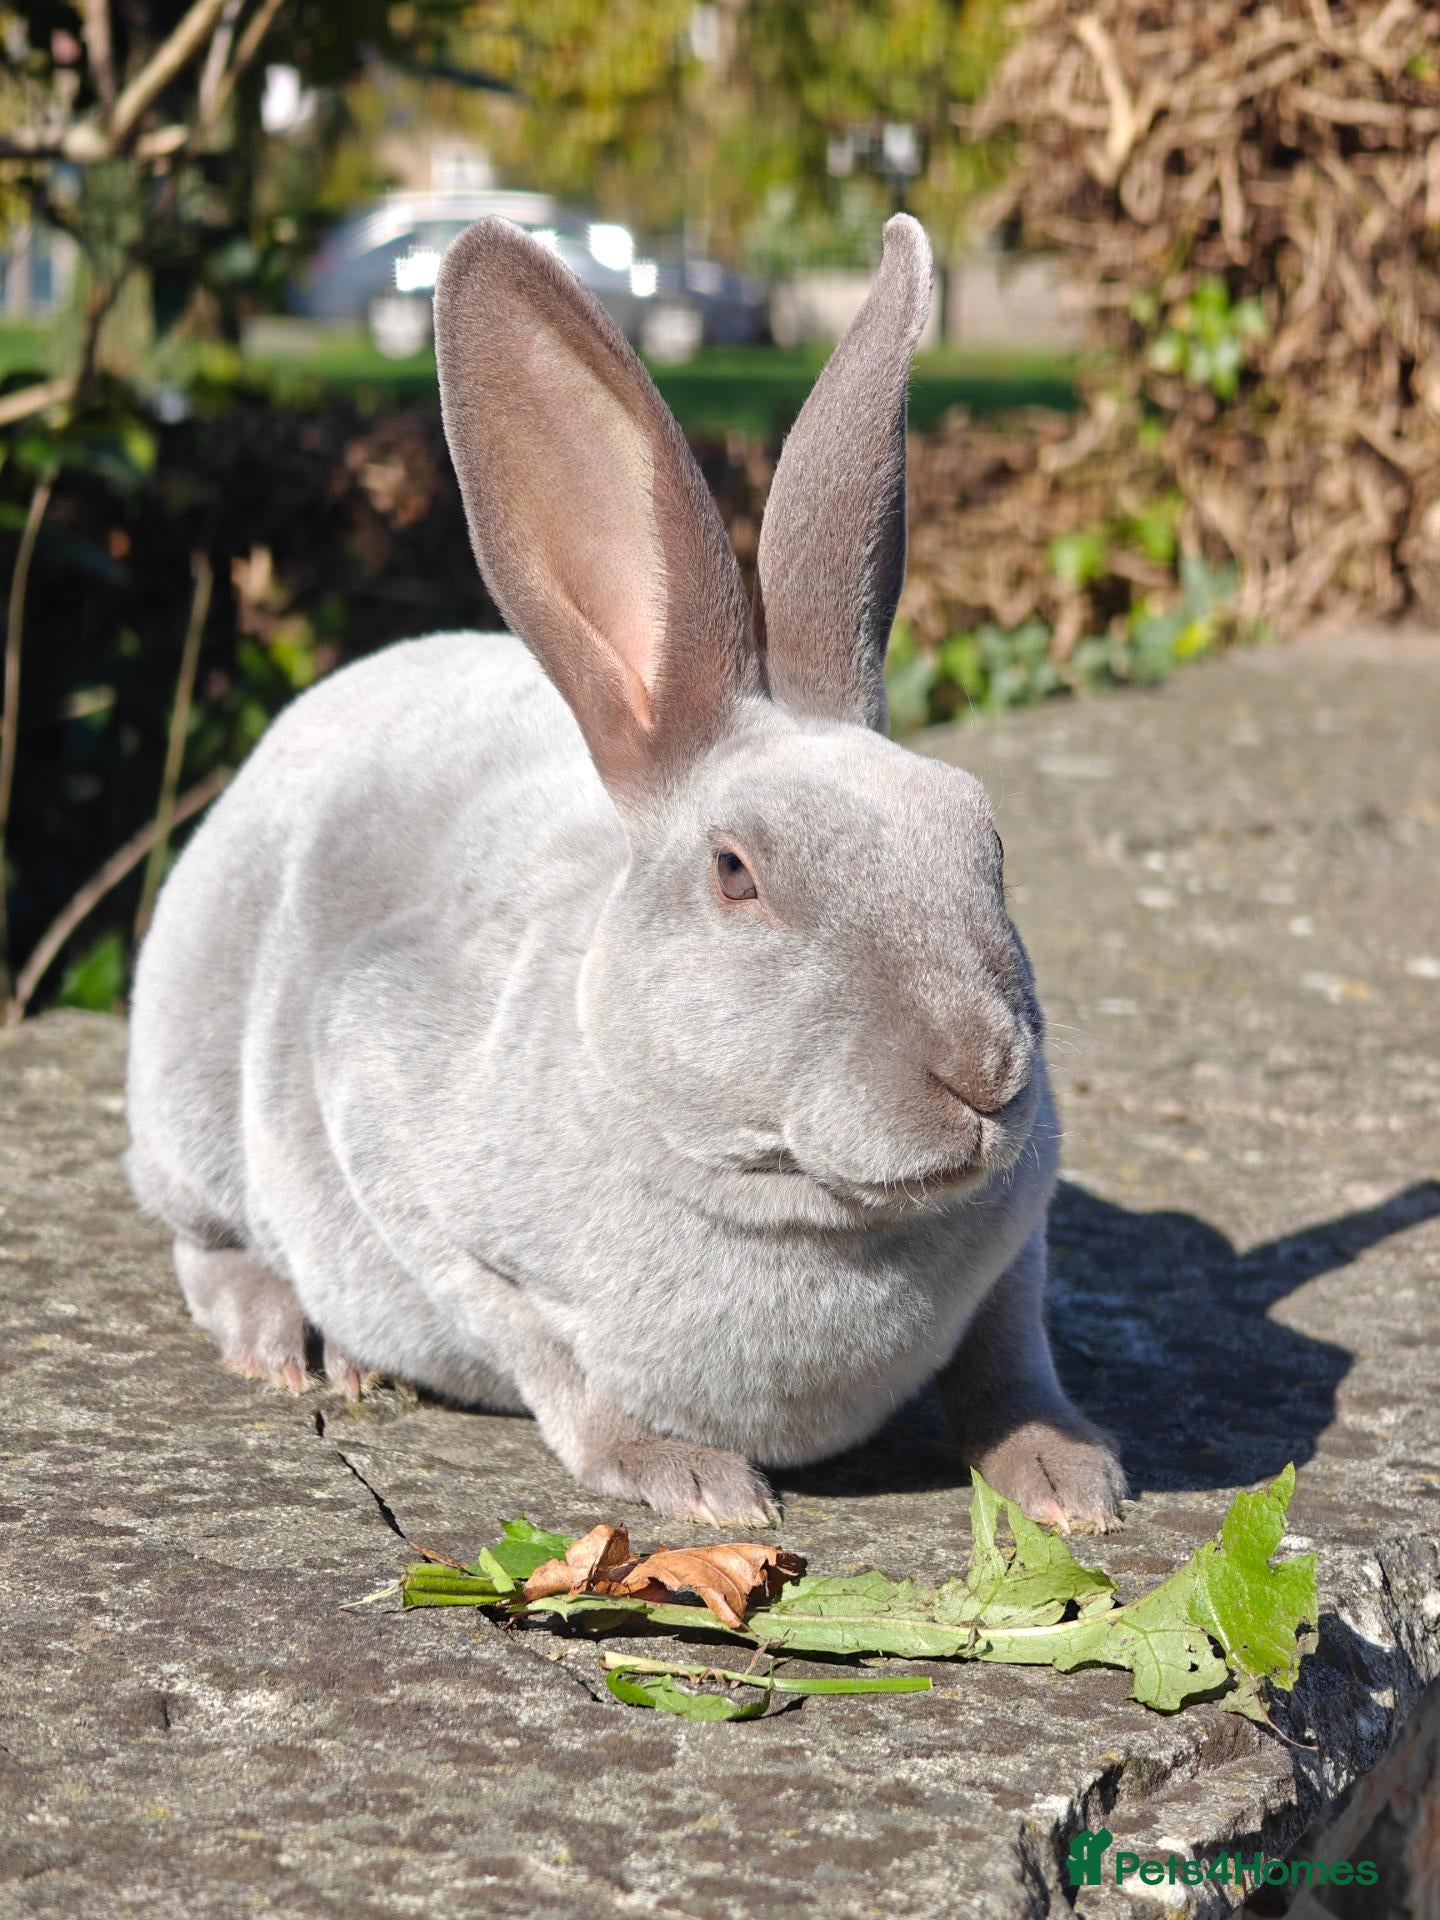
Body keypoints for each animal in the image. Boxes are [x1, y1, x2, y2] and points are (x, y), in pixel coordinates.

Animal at [125, 213, 1126, 1533]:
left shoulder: (1024, 1240)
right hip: (188, 1090)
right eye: (736, 872)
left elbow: (1010, 1354)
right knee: (202, 1237)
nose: (987, 1075)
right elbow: (555, 1367)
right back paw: (285, 1339)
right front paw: (697, 1484)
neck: (796, 1203)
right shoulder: (409, 1165)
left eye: (983, 835)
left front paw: (1072, 1482)